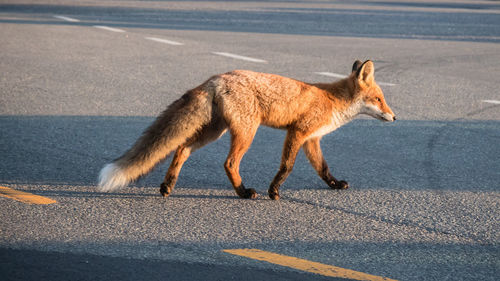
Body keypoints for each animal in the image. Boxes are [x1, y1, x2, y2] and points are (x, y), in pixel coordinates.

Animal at [96, 59, 394, 199]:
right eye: (379, 99)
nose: (394, 117)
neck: (332, 101)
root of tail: (217, 77)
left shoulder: (312, 139)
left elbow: (323, 168)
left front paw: (335, 184)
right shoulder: (297, 133)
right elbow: (287, 167)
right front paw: (274, 192)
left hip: (214, 131)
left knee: (181, 148)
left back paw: (168, 185)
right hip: (246, 132)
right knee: (229, 163)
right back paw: (243, 192)